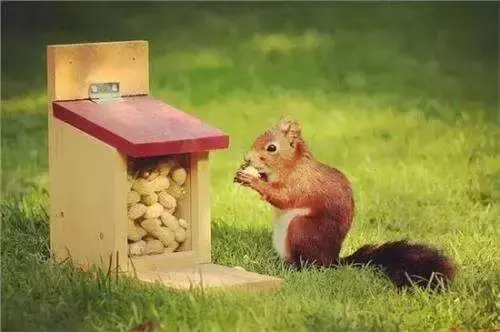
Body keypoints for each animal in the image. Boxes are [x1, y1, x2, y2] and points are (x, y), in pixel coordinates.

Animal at [234, 116, 458, 290]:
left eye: (271, 148)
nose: (247, 158)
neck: (291, 165)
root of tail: (333, 261)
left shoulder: (300, 183)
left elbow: (282, 197)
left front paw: (252, 180)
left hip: (301, 229)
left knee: (310, 265)